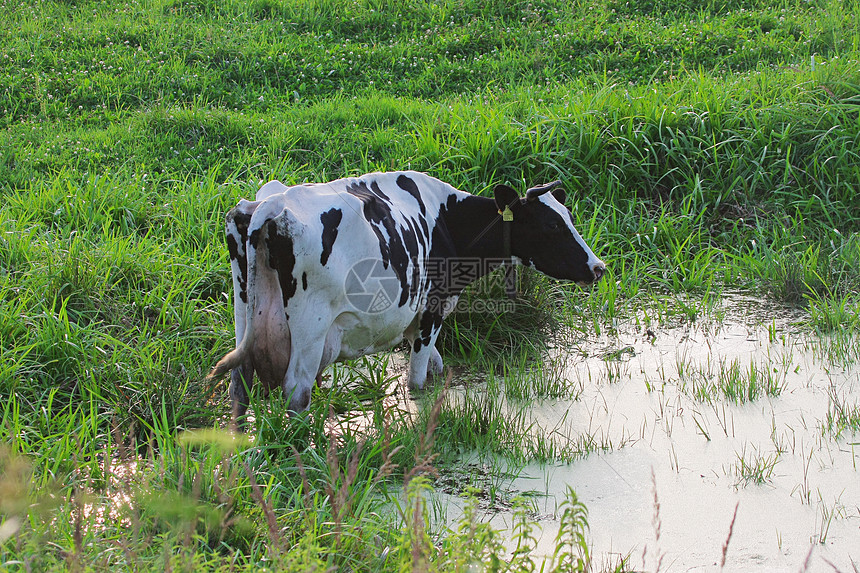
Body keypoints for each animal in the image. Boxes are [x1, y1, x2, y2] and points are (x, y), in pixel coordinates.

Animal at [210, 170, 604, 424]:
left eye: (569, 217)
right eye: (551, 225)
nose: (598, 267)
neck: (446, 224)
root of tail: (273, 203)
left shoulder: (418, 317)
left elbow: (437, 366)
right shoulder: (432, 308)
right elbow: (417, 380)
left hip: (245, 313)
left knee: (238, 386)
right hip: (310, 331)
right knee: (296, 392)